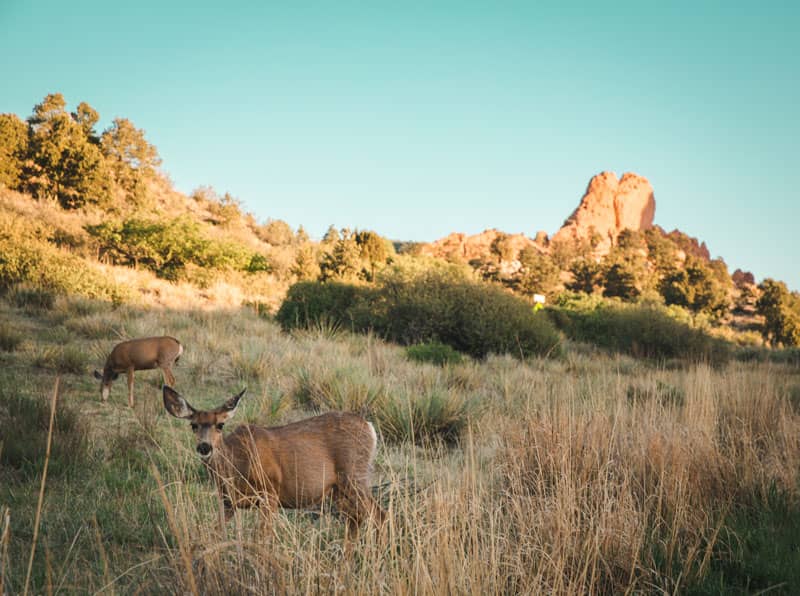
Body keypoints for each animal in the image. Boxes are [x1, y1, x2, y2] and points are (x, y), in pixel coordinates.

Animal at [162, 384, 384, 544]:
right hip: (339, 489)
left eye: (220, 425)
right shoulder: (228, 502)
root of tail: (370, 427)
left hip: (354, 476)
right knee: (356, 520)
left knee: (379, 516)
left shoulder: (270, 493)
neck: (236, 463)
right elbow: (214, 533)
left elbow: (262, 540)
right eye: (193, 425)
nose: (204, 447)